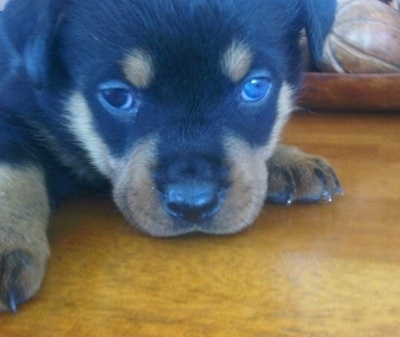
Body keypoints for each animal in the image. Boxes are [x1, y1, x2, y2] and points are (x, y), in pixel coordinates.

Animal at [0, 0, 340, 312]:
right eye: (117, 96)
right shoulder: (12, 112)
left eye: (255, 87)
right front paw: (8, 244)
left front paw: (290, 160)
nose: (193, 204)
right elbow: (13, 174)